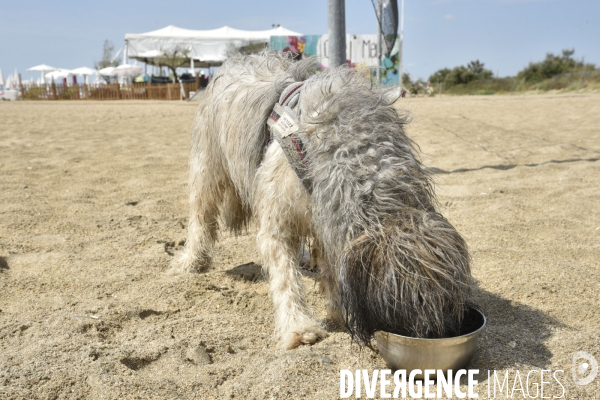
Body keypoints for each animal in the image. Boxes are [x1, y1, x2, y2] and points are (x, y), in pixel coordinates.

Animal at [171, 54, 472, 350]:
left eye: (449, 302)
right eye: (414, 304)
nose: (444, 333)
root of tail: (239, 60)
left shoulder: (327, 218)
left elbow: (330, 270)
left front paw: (338, 311)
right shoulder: (277, 220)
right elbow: (285, 276)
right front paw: (299, 326)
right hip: (208, 166)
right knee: (201, 215)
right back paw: (192, 260)